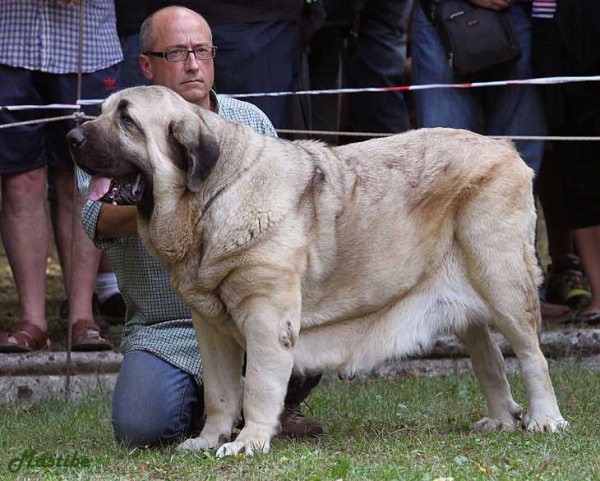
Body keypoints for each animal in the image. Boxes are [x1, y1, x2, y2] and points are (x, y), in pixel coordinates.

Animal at [69, 86, 568, 458]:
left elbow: (258, 386)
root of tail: (502, 145)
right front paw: (208, 440)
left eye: (127, 121)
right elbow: (220, 393)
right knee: (490, 359)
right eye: (102, 112)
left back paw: (545, 419)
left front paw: (248, 442)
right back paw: (501, 419)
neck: (211, 198)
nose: (72, 137)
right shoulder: (210, 328)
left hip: (502, 278)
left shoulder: (267, 318)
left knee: (531, 356)